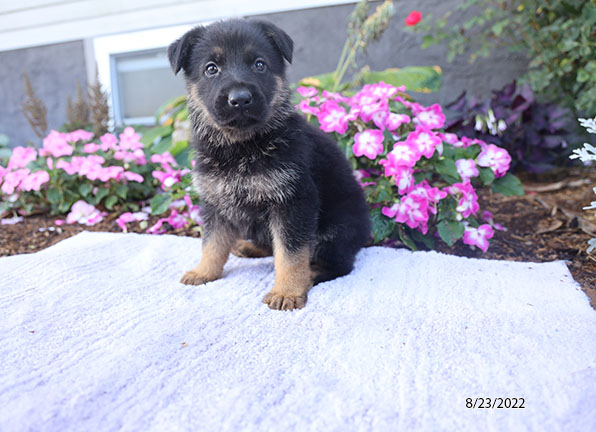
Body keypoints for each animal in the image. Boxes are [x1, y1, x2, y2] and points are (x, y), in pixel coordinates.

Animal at [168, 20, 370, 310]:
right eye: (211, 68)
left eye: (259, 64)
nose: (240, 99)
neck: (241, 147)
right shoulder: (216, 203)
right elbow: (212, 243)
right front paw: (204, 271)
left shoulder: (293, 203)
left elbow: (291, 254)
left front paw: (287, 291)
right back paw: (250, 247)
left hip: (336, 230)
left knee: (338, 264)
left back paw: (311, 274)